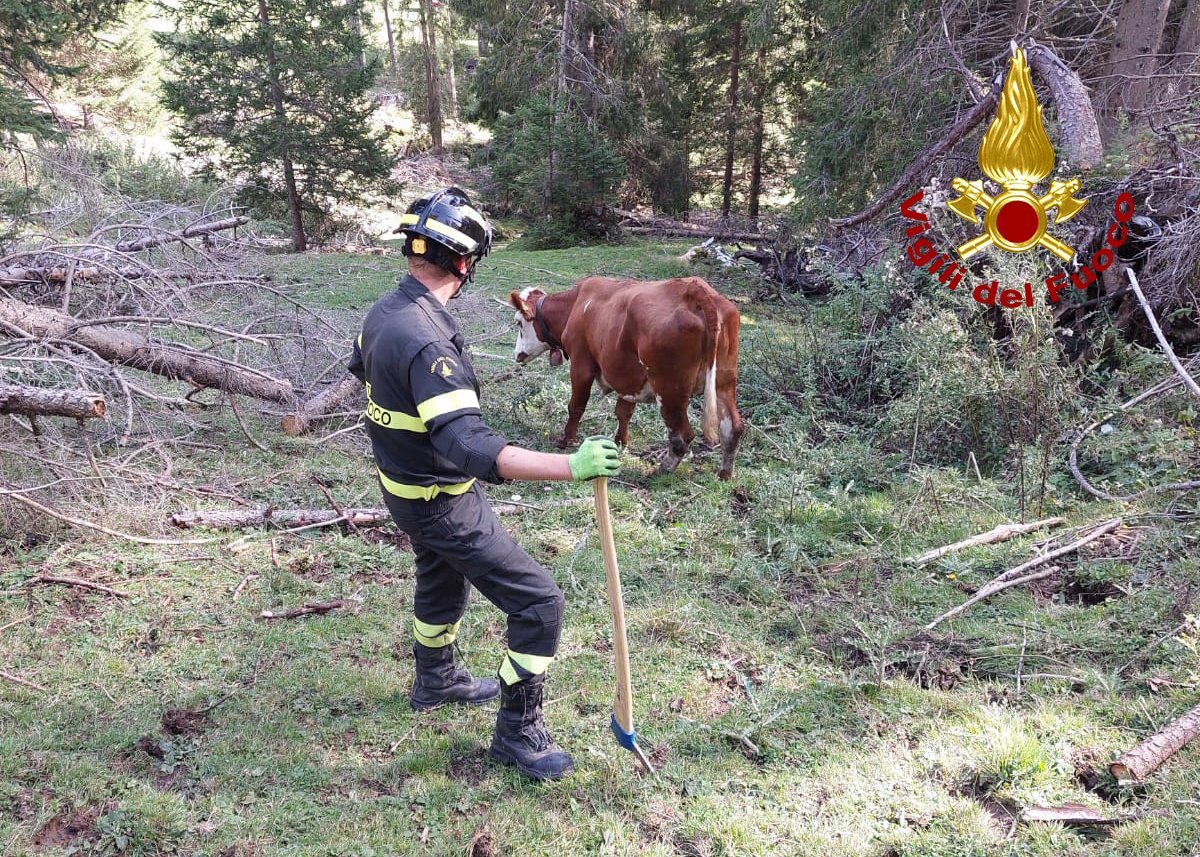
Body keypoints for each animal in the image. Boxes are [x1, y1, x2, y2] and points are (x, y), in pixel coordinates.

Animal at [508, 276, 745, 480]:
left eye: (518, 323)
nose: (516, 354)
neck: (575, 304)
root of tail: (694, 289)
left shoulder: (581, 365)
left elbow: (576, 406)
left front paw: (567, 439)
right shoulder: (627, 377)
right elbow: (624, 411)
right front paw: (620, 441)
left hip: (669, 389)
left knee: (681, 435)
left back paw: (662, 470)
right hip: (723, 382)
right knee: (733, 428)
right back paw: (725, 473)